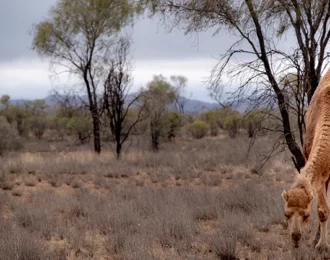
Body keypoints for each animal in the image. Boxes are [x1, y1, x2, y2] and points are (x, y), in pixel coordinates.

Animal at [282, 68, 330, 250]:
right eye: (286, 214)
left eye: (306, 215)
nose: (295, 237)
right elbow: (323, 210)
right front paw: (320, 244)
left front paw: (323, 246)